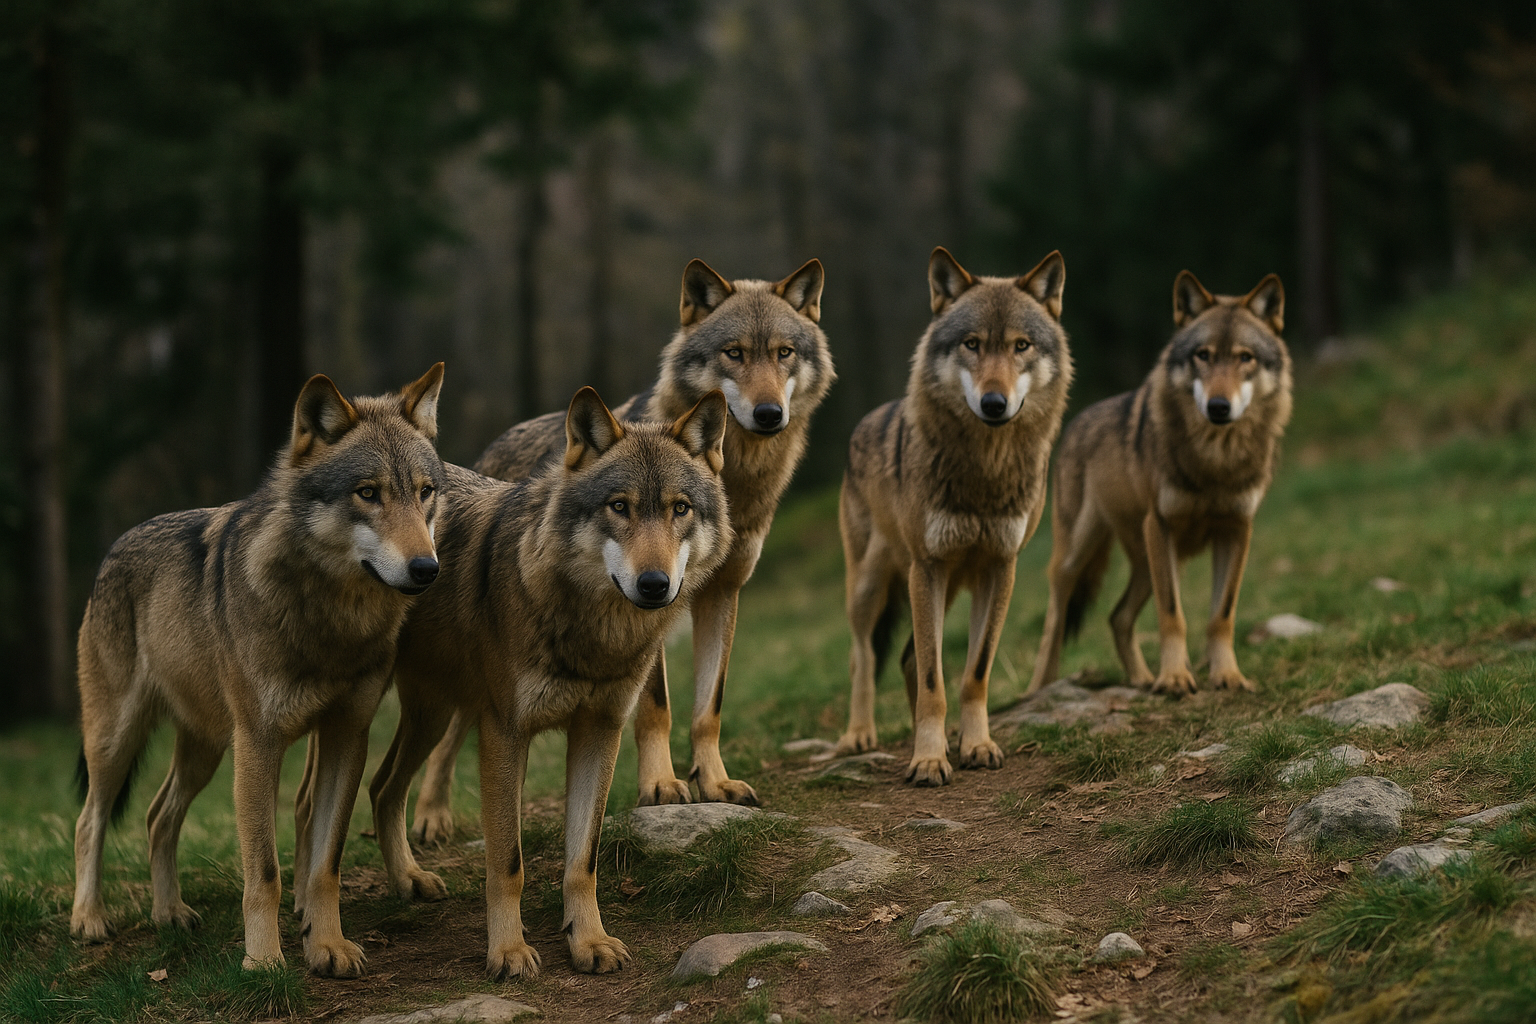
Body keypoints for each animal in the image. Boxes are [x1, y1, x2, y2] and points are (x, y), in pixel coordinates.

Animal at [70, 365, 446, 977]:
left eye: (424, 492)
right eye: (368, 493)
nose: (426, 568)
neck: (330, 620)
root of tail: (116, 545)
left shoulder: (347, 737)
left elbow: (324, 864)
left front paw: (327, 945)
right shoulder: (259, 745)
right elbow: (265, 872)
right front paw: (265, 962)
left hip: (204, 750)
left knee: (156, 816)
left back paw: (169, 913)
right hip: (116, 741)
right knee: (90, 820)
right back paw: (89, 919)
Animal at [363, 387, 732, 978]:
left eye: (680, 508)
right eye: (620, 506)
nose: (654, 584)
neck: (592, 636)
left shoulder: (599, 733)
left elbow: (583, 859)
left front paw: (589, 942)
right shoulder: (504, 733)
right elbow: (507, 863)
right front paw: (509, 952)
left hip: (430, 714)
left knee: (382, 787)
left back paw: (408, 882)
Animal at [404, 258, 834, 838]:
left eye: (784, 352)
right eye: (735, 352)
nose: (768, 413)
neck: (741, 484)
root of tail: (491, 449)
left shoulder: (723, 592)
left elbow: (709, 705)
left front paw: (714, 782)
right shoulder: (648, 604)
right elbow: (657, 707)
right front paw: (660, 786)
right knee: (452, 732)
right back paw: (431, 817)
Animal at [834, 248, 1072, 786]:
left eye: (1021, 345)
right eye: (972, 344)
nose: (994, 402)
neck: (985, 473)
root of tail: (866, 419)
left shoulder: (1000, 568)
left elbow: (971, 673)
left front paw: (974, 745)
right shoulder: (930, 567)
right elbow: (933, 678)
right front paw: (927, 758)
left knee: (906, 658)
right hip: (872, 588)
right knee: (864, 658)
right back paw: (859, 736)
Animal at [1030, 271, 1292, 695]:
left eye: (1245, 357)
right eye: (1203, 355)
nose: (1219, 407)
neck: (1215, 460)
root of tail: (1074, 422)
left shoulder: (1237, 530)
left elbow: (1221, 614)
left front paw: (1227, 676)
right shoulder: (1161, 524)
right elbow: (1173, 614)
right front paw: (1173, 679)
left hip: (1151, 561)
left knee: (1118, 617)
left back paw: (1141, 679)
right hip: (1080, 555)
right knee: (1055, 620)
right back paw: (1040, 688)